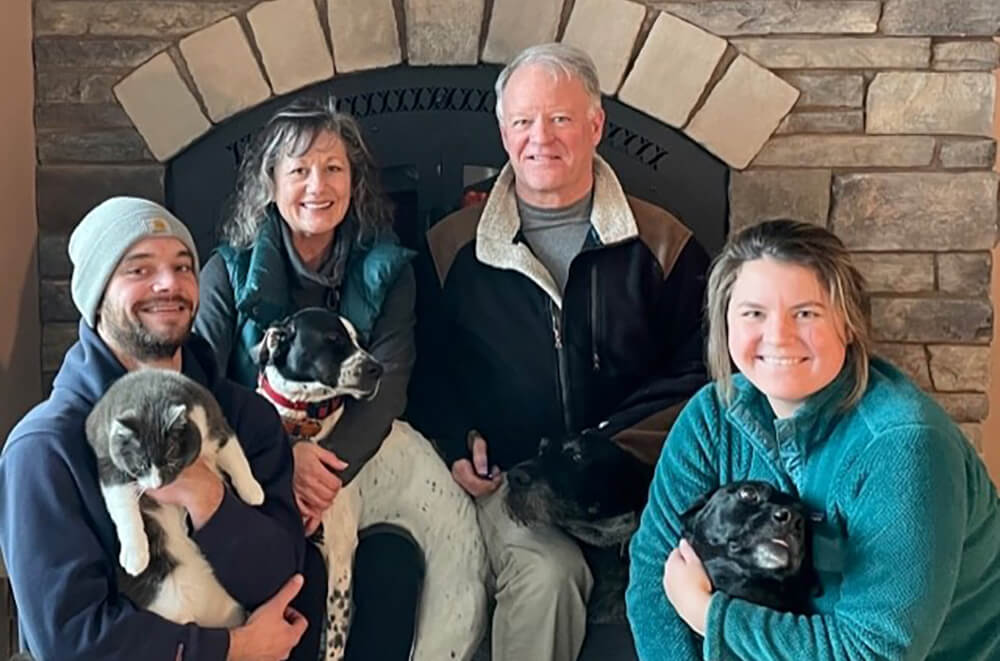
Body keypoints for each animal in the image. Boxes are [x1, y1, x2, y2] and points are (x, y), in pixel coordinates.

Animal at [86, 368, 266, 628]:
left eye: (171, 459)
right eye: (140, 465)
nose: (157, 484)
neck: (148, 396)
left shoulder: (215, 422)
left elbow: (236, 457)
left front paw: (253, 491)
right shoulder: (108, 461)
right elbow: (123, 508)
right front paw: (135, 556)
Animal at [250, 308, 484, 660]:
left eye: (361, 340)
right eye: (333, 338)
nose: (378, 369)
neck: (301, 421)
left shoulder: (340, 557)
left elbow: (335, 644)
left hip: (436, 640)